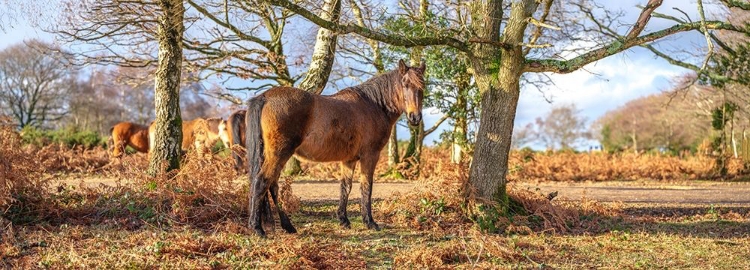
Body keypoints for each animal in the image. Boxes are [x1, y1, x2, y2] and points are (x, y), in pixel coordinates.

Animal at [245, 59, 426, 236]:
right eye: (405, 84)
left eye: (422, 86)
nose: (415, 117)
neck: (374, 105)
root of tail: (265, 97)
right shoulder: (370, 156)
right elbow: (366, 187)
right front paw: (370, 222)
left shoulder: (349, 160)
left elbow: (345, 187)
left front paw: (343, 220)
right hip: (279, 154)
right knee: (262, 182)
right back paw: (257, 228)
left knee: (272, 185)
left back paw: (287, 226)